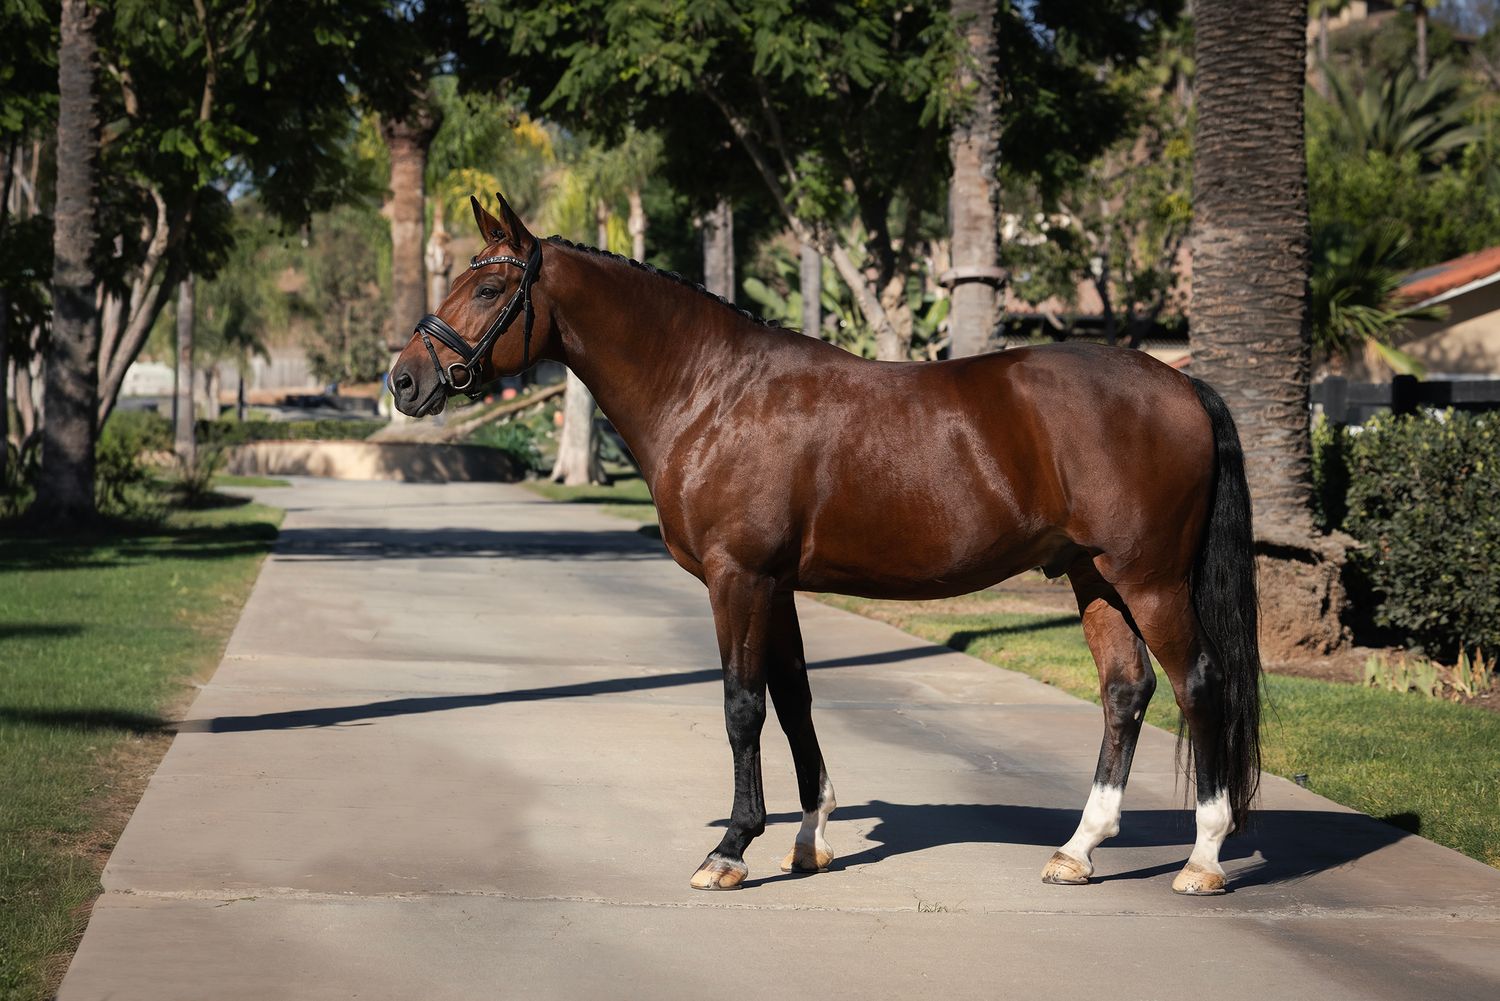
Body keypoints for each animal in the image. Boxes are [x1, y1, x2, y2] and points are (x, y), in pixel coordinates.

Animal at [390, 194, 1262, 896]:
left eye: (490, 288)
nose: (403, 381)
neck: (713, 390)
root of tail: (1182, 382)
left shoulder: (738, 578)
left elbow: (742, 705)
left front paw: (731, 848)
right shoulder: (775, 584)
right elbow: (794, 699)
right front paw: (809, 839)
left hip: (1149, 578)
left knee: (1199, 683)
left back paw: (1203, 856)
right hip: (1093, 576)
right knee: (1125, 690)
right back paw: (1078, 849)